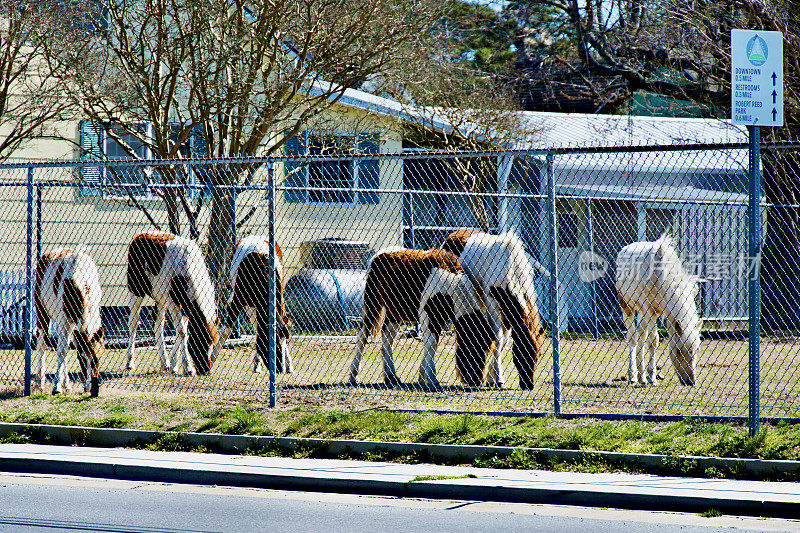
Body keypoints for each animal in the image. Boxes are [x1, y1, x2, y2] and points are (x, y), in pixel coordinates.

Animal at [35, 246, 104, 394]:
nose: (92, 388)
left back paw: (66, 384)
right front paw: (56, 386)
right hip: (41, 312)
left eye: (97, 359)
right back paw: (40, 382)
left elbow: (66, 350)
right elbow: (61, 350)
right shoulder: (64, 320)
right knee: (42, 345)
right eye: (82, 358)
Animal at [211, 237, 292, 374]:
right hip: (250, 307)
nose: (279, 369)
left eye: (284, 340)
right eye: (272, 343)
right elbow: (226, 330)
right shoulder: (237, 300)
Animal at [348, 247, 494, 388]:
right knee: (362, 336)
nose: (476, 381)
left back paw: (391, 377)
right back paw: (354, 376)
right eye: (471, 348)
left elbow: (432, 345)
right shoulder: (429, 316)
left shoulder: (438, 320)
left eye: (485, 349)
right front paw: (432, 379)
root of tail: (378, 254)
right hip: (372, 304)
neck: (449, 285)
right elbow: (431, 345)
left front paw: (423, 377)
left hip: (394, 312)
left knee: (387, 338)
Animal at [612, 235, 700, 384]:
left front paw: (647, 376)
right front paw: (652, 377)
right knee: (632, 338)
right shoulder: (650, 310)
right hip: (627, 305)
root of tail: (624, 250)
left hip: (642, 312)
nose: (690, 381)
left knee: (641, 336)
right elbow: (653, 341)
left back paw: (641, 377)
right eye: (678, 351)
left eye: (696, 349)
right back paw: (632, 376)